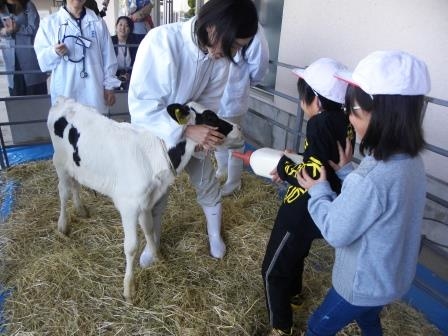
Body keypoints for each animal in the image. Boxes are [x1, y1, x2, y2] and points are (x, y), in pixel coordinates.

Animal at [47, 96, 243, 302]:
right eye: (210, 117)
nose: (239, 128)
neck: (154, 155)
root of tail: (64, 101)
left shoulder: (146, 202)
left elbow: (149, 230)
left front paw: (157, 257)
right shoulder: (129, 207)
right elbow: (131, 246)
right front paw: (129, 288)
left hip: (76, 166)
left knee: (75, 184)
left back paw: (81, 209)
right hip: (59, 162)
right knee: (63, 191)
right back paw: (63, 225)